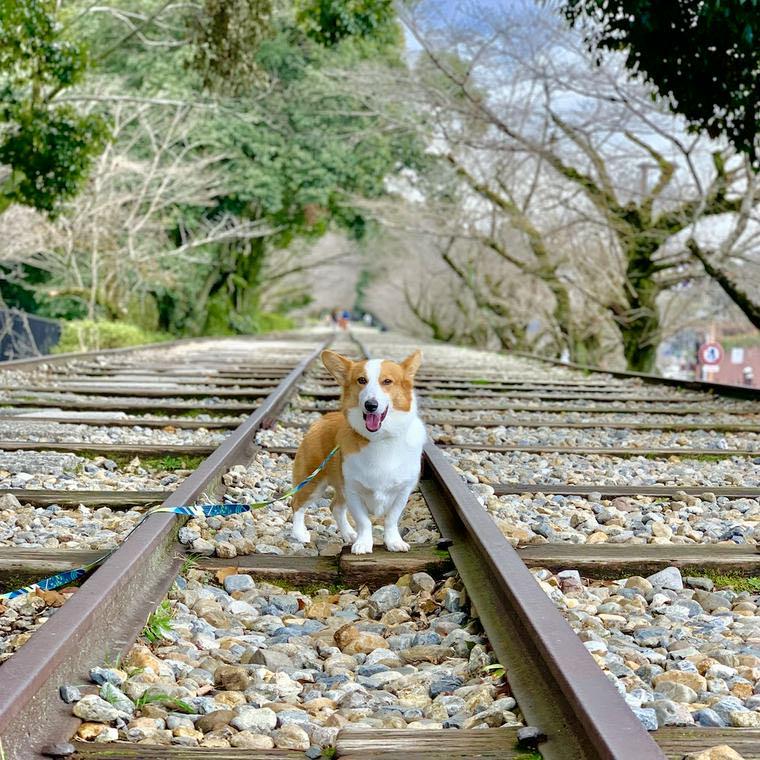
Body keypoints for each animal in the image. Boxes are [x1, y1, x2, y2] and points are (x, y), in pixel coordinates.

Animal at [290, 348, 424, 552]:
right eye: (361, 380)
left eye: (387, 381)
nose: (371, 405)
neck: (379, 439)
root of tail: (324, 418)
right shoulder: (353, 490)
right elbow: (364, 522)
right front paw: (363, 544)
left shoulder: (402, 491)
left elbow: (391, 519)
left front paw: (394, 542)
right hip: (313, 481)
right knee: (297, 503)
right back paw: (299, 534)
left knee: (335, 507)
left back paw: (348, 534)